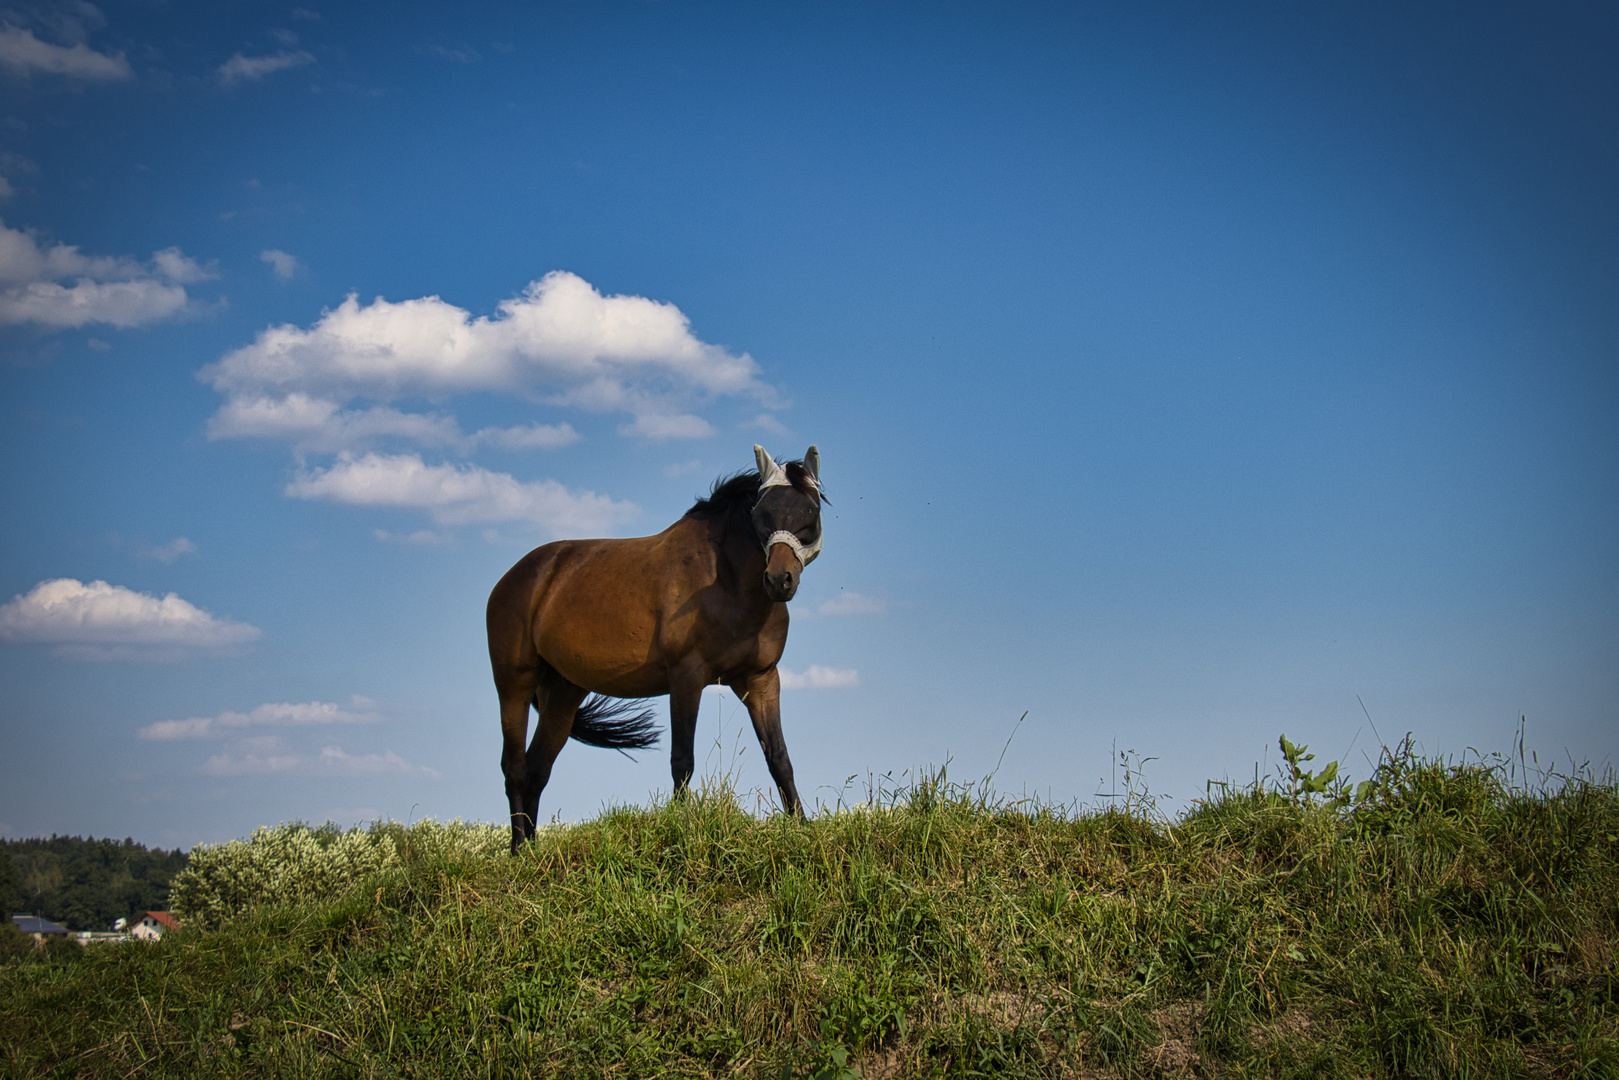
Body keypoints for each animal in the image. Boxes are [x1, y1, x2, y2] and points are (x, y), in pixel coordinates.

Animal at [482, 446, 828, 854]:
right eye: (761, 513)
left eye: (811, 510)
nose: (779, 580)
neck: (725, 578)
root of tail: (519, 576)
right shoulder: (686, 677)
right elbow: (682, 760)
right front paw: (680, 832)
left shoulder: (760, 680)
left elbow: (779, 757)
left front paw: (801, 829)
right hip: (514, 685)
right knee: (515, 768)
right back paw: (518, 849)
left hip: (562, 693)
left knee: (537, 769)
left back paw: (533, 851)